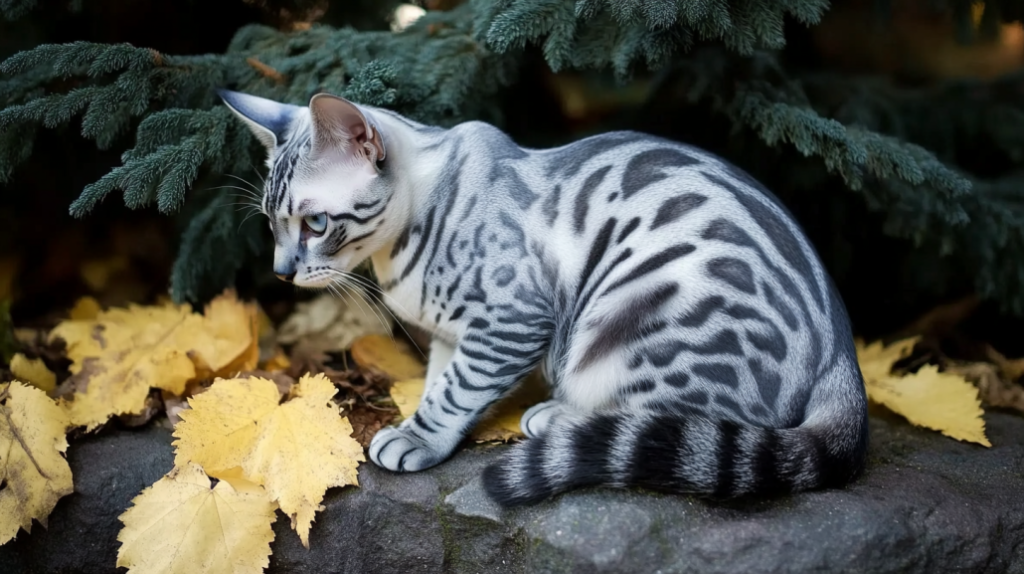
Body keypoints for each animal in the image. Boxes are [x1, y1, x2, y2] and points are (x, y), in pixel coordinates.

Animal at [220, 88, 868, 505]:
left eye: (315, 224)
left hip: (634, 320)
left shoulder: (508, 322)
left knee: (685, 421)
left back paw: (559, 417)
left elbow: (455, 391)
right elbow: (438, 380)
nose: (281, 272)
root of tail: (844, 354)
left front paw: (417, 437)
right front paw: (421, 421)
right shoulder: (453, 333)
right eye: (272, 225)